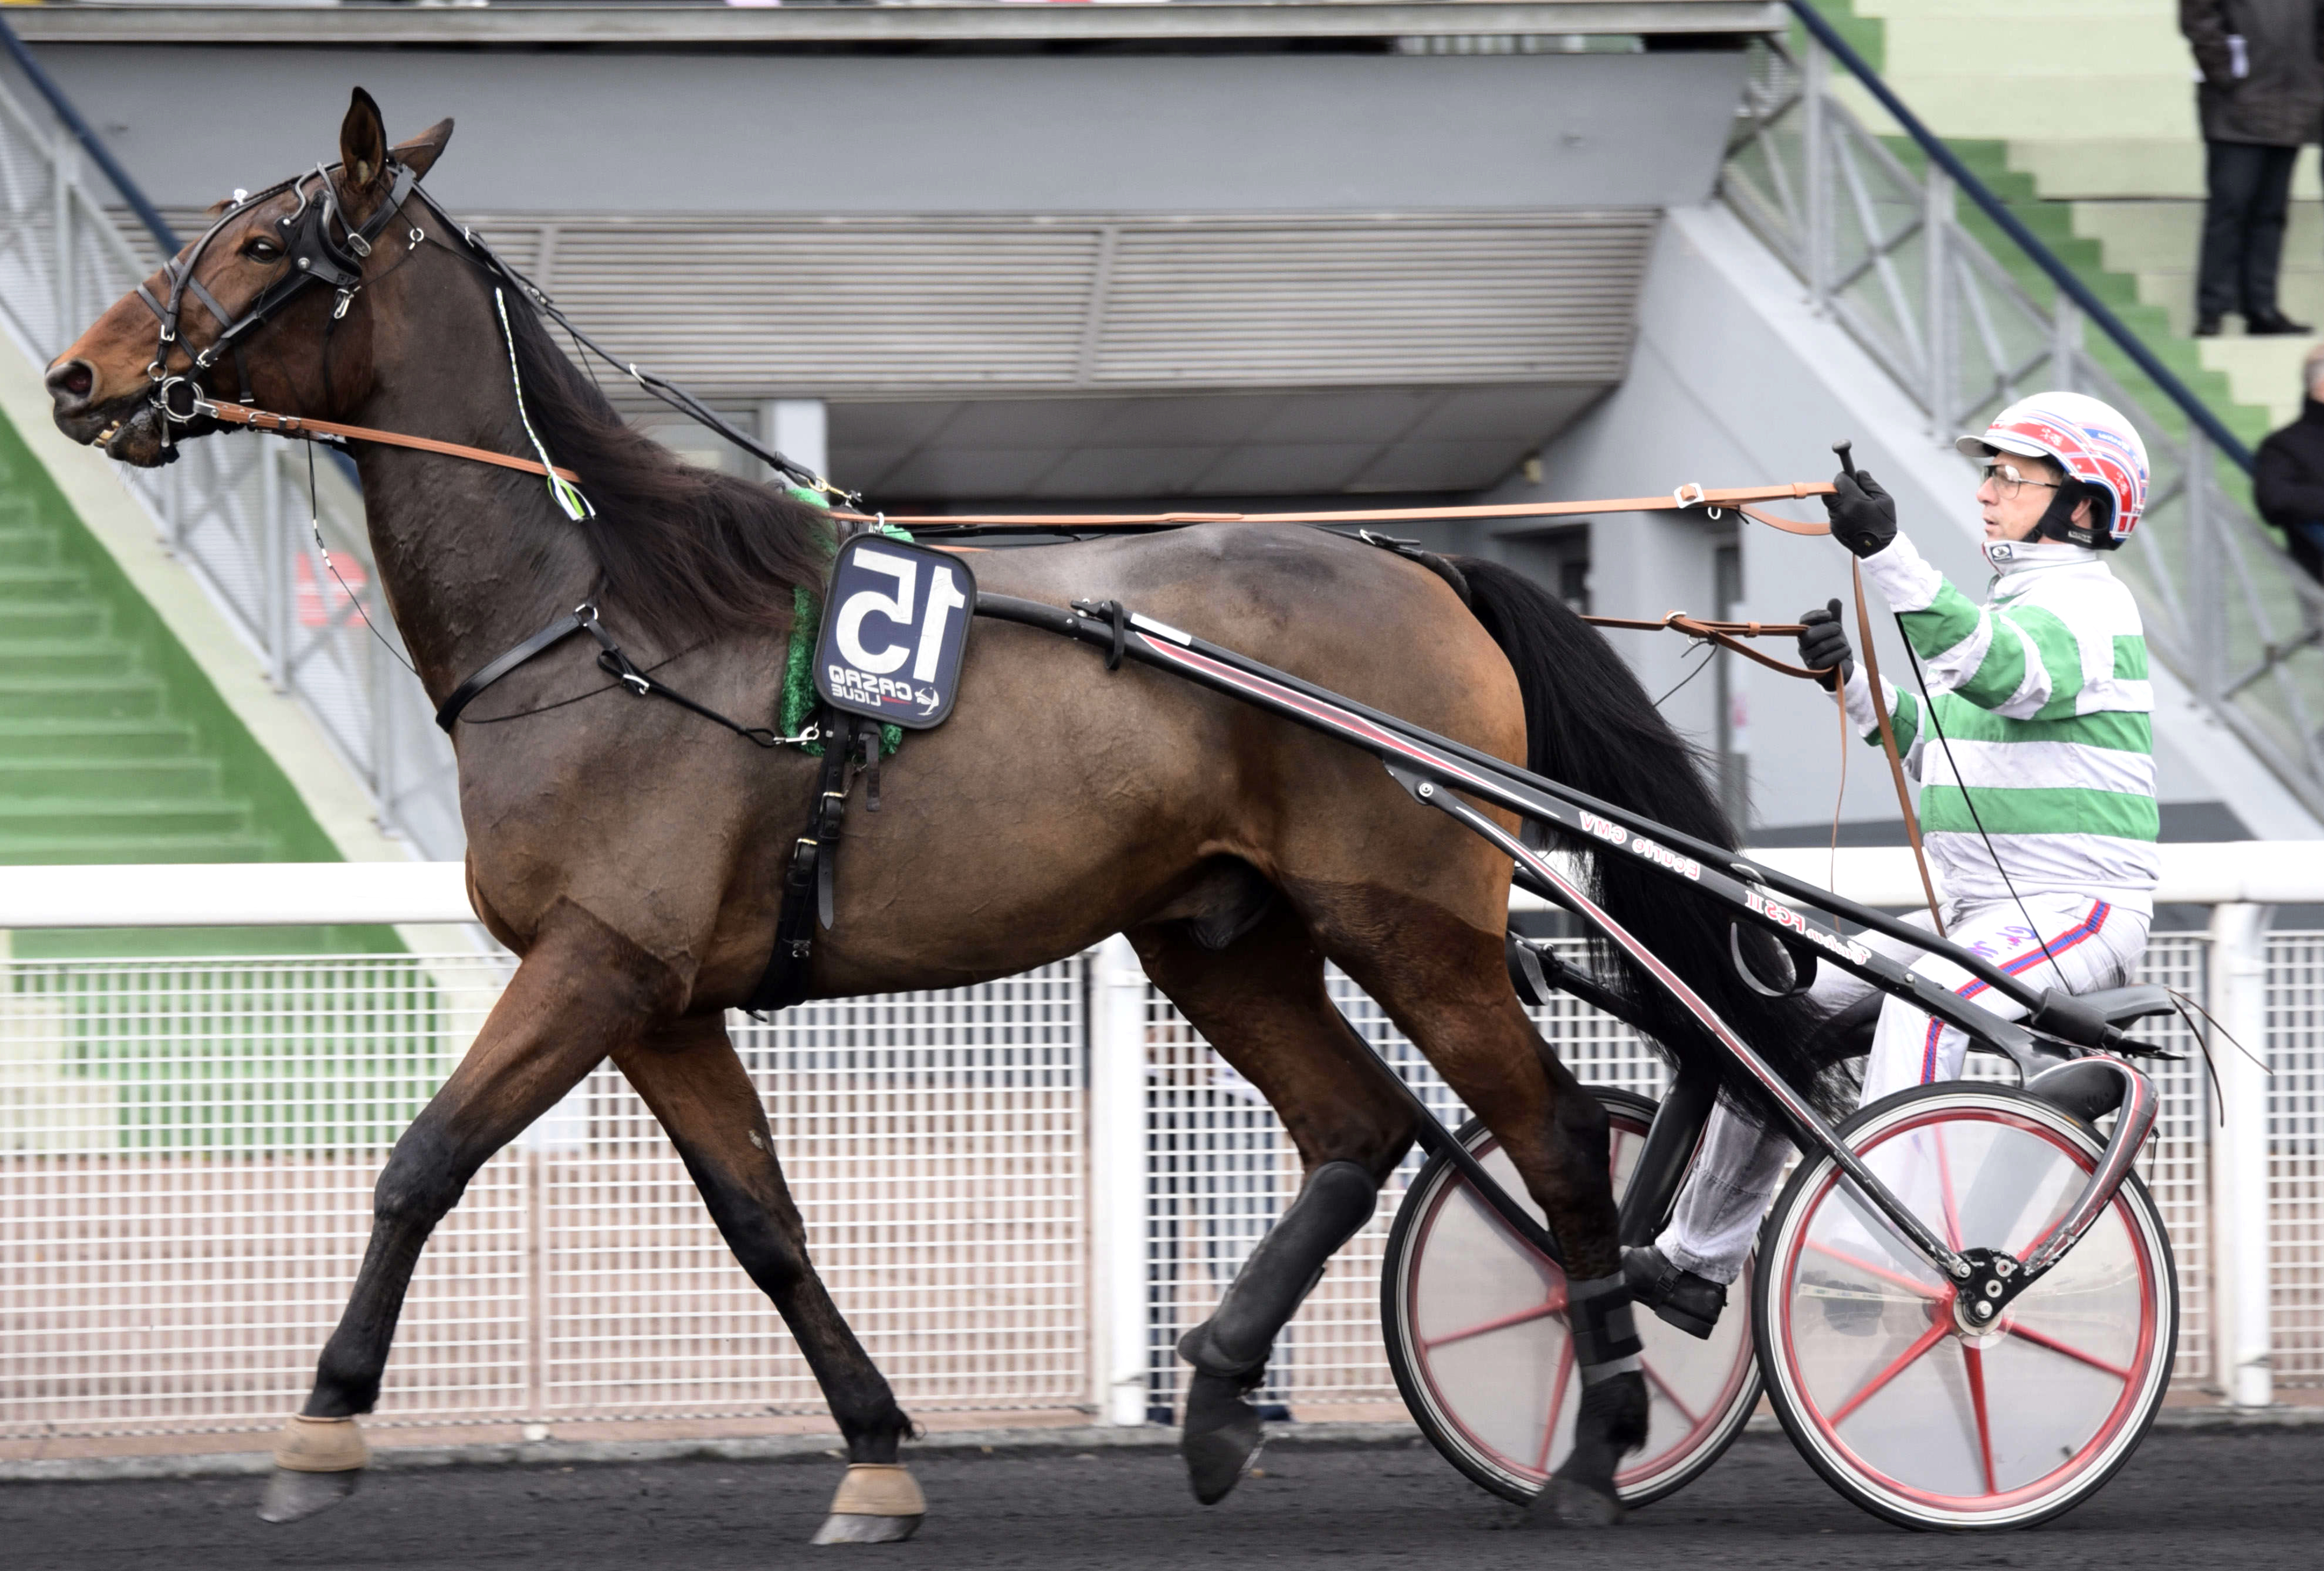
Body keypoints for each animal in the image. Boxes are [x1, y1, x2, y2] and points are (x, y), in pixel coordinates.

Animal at [45, 92, 1822, 1543]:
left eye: (255, 241)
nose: (78, 374)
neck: (597, 615)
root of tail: (1416, 559)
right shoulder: (659, 997)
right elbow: (763, 1223)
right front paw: (876, 1456)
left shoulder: (597, 962)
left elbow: (421, 1162)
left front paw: (320, 1427)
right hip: (1217, 931)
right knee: (1356, 1129)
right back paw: (1219, 1393)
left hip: (1411, 913)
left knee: (1548, 1133)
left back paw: (1592, 1446)